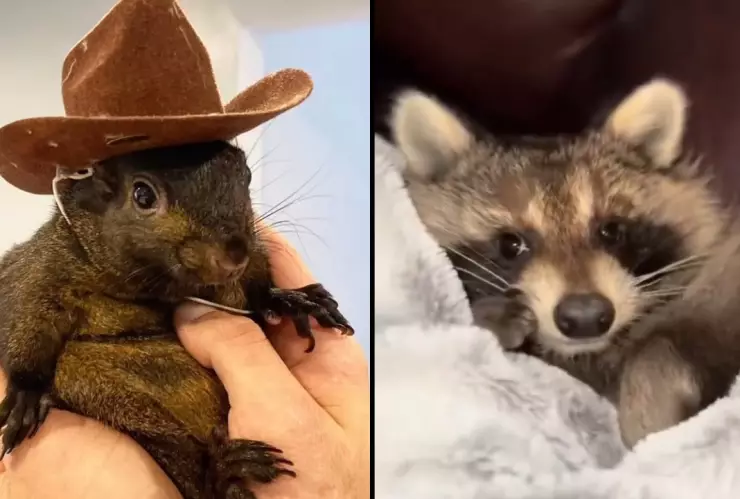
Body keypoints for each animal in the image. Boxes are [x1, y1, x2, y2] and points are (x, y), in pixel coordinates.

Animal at [0, 140, 353, 499]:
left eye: (246, 174)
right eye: (143, 196)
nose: (235, 254)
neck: (154, 288)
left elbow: (256, 292)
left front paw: (290, 300)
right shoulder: (42, 268)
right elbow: (26, 314)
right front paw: (26, 392)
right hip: (108, 396)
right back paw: (224, 469)